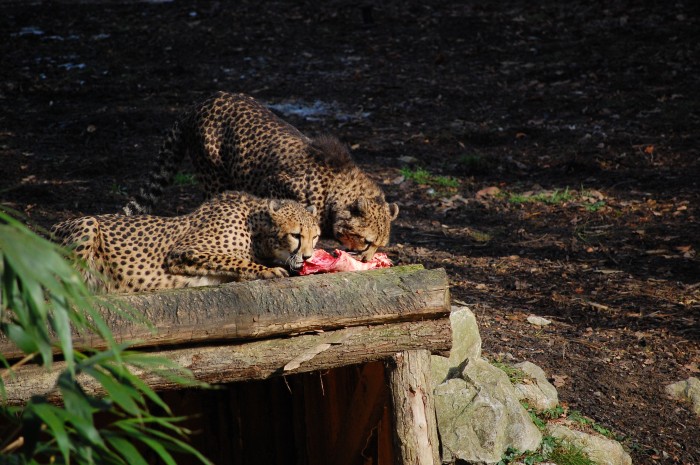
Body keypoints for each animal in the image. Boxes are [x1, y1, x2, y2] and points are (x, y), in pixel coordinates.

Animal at [52, 190, 320, 292]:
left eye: (315, 237)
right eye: (296, 235)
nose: (308, 256)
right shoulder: (182, 252)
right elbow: (234, 260)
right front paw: (268, 270)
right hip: (88, 224)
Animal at [123, 92, 400, 262]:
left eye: (379, 244)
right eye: (366, 241)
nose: (367, 258)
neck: (334, 192)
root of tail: (202, 101)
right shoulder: (274, 186)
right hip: (213, 175)